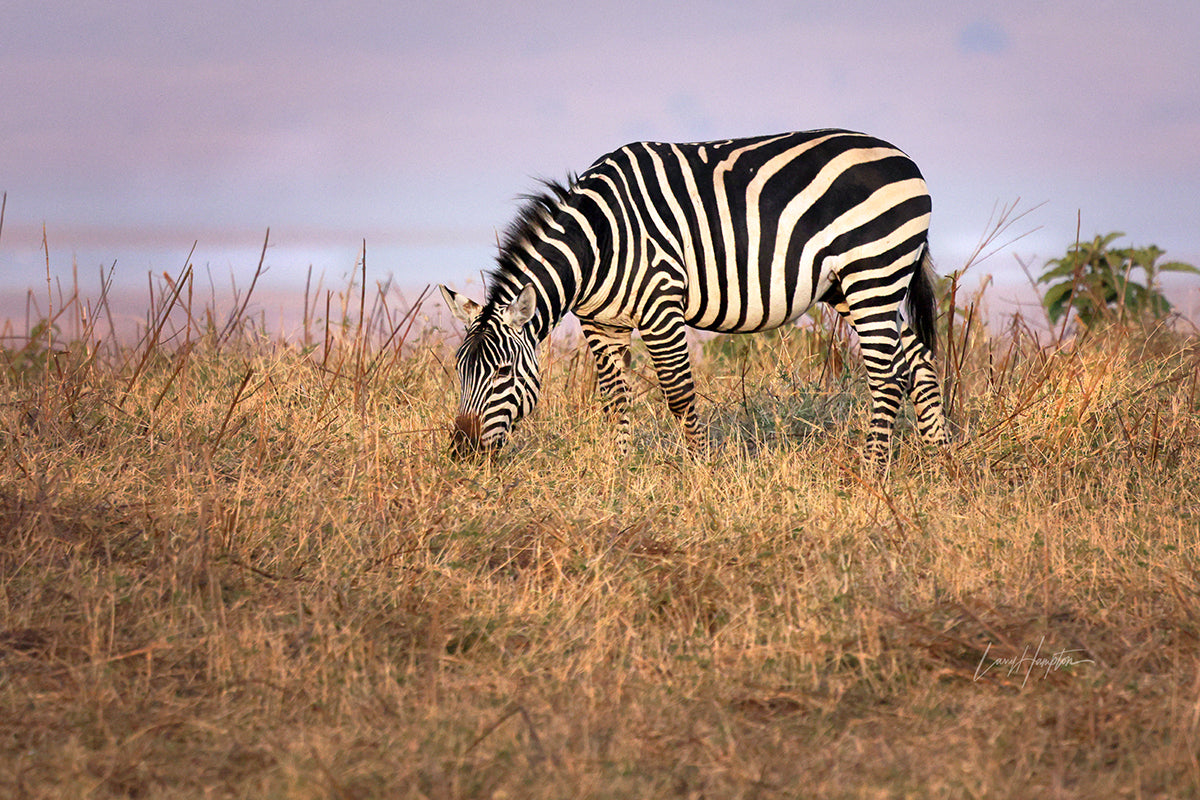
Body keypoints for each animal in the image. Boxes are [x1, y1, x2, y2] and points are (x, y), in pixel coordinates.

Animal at [439, 126, 945, 462]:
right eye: (460, 371)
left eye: (502, 372)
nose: (462, 452)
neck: (599, 240)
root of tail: (904, 158)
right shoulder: (601, 324)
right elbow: (615, 398)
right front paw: (620, 469)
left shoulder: (661, 306)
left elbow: (679, 395)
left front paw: (699, 470)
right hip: (855, 285)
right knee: (917, 361)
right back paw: (938, 461)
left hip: (873, 271)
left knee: (887, 376)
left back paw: (873, 471)